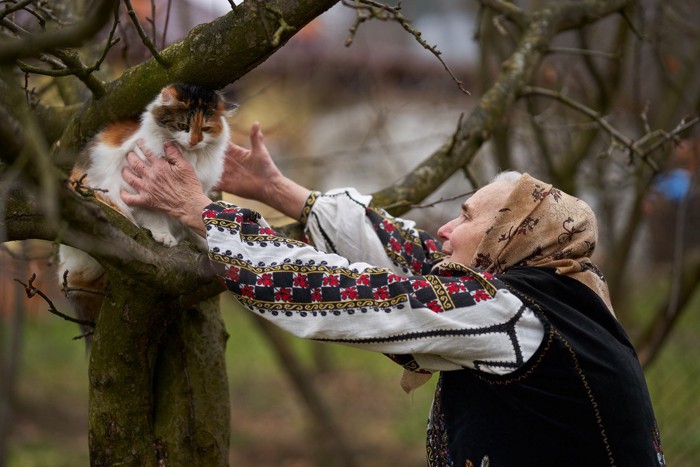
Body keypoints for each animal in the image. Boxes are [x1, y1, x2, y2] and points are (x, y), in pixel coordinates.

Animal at [58, 83, 238, 332]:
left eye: (205, 129)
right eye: (183, 126)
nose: (193, 141)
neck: (188, 157)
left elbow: (191, 220)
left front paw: (205, 242)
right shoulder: (137, 192)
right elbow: (156, 218)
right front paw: (163, 236)